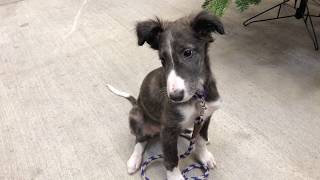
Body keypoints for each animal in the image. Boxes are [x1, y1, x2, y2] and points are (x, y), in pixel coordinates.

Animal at [106, 10, 224, 180]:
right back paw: (134, 160)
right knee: (140, 140)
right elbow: (171, 158)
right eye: (162, 59)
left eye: (187, 52)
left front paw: (204, 156)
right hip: (137, 116)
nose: (174, 97)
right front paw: (176, 177)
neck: (197, 98)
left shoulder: (206, 116)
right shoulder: (168, 129)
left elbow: (201, 139)